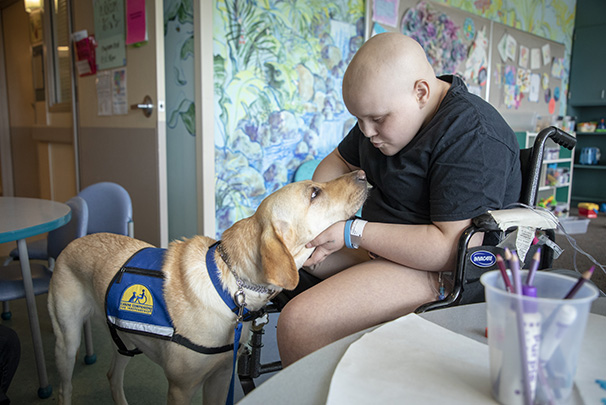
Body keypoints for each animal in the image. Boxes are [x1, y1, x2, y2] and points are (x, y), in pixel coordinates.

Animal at [47, 169, 368, 402]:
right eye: (314, 192)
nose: (363, 173)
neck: (233, 287)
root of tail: (75, 240)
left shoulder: (221, 377)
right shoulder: (181, 388)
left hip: (126, 340)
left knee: (113, 376)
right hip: (67, 340)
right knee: (65, 387)